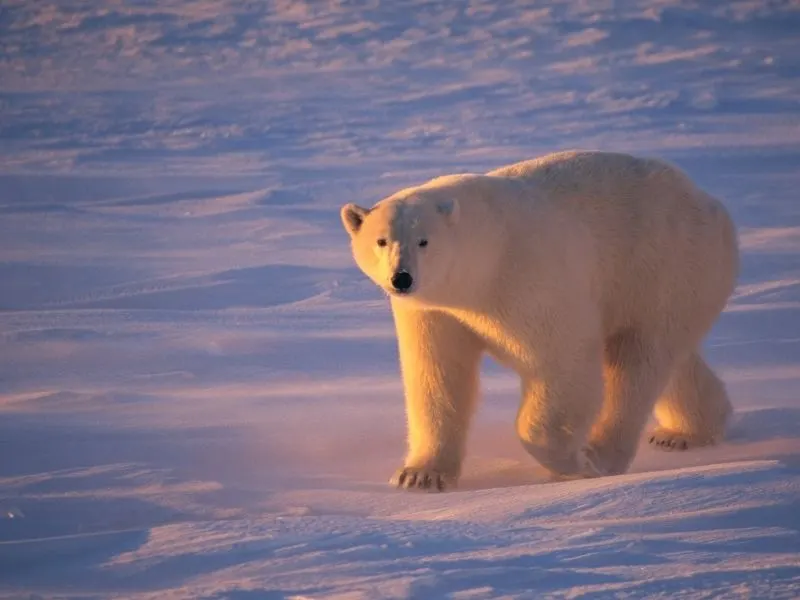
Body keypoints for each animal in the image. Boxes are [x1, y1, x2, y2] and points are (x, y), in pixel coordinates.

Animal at [340, 150, 740, 492]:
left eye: (424, 241)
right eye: (381, 240)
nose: (402, 278)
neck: (486, 257)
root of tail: (713, 205)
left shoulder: (529, 279)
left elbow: (562, 361)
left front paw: (574, 462)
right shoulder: (434, 311)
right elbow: (437, 376)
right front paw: (419, 475)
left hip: (665, 263)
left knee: (637, 362)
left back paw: (602, 454)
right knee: (673, 358)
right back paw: (685, 432)